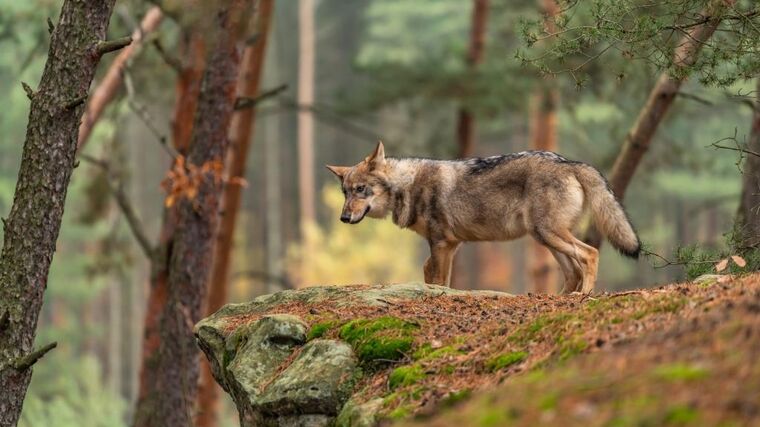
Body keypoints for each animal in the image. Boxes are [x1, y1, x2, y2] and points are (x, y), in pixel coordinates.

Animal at [324, 141, 640, 294]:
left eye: (360, 189)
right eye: (344, 192)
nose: (343, 217)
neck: (408, 185)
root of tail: (572, 163)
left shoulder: (442, 244)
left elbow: (440, 280)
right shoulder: (448, 245)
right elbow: (429, 273)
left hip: (549, 234)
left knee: (590, 254)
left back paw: (583, 295)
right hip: (545, 238)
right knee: (573, 270)